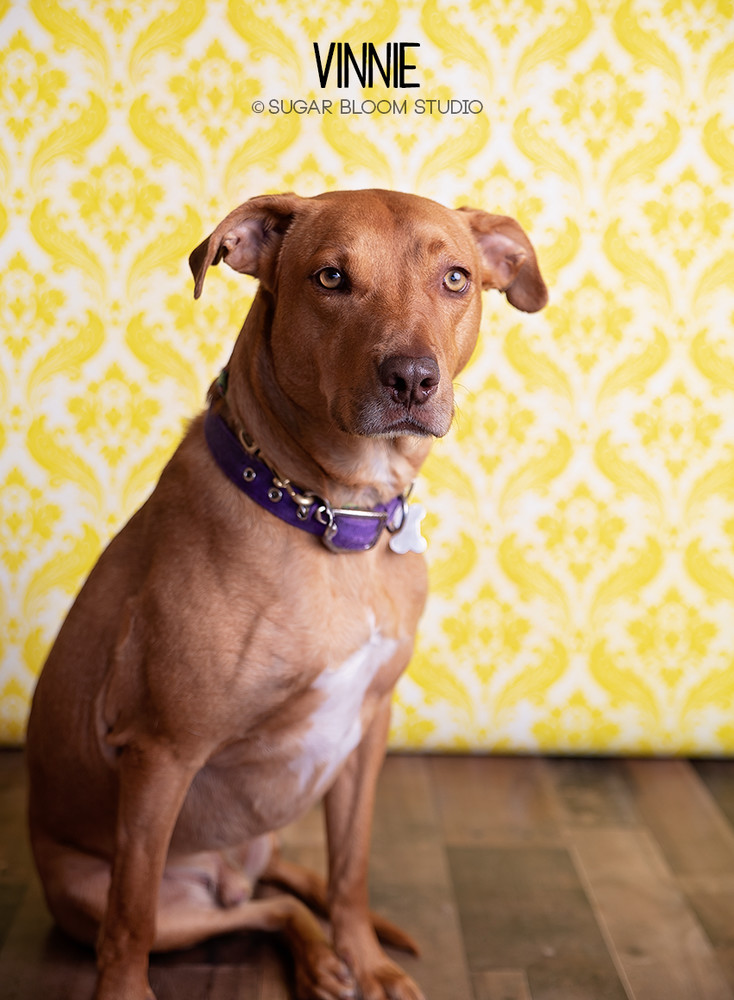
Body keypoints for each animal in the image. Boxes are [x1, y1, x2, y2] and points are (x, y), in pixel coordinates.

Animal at [27, 189, 548, 1000]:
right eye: (331, 278)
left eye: (456, 279)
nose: (411, 378)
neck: (333, 513)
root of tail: (231, 869)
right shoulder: (161, 755)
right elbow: (130, 918)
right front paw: (125, 993)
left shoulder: (368, 729)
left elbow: (349, 869)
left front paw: (366, 959)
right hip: (111, 891)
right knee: (231, 908)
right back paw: (314, 957)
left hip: (256, 846)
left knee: (281, 897)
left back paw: (331, 958)